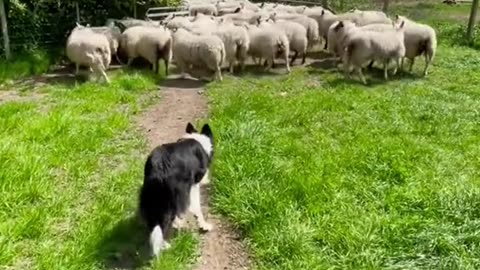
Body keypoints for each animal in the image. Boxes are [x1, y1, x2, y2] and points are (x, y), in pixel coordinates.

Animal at [139, 122, 214, 255]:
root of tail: (159, 167)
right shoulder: (192, 185)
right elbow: (197, 208)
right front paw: (204, 225)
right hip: (175, 194)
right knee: (166, 221)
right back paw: (167, 244)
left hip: (151, 196)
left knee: (155, 223)